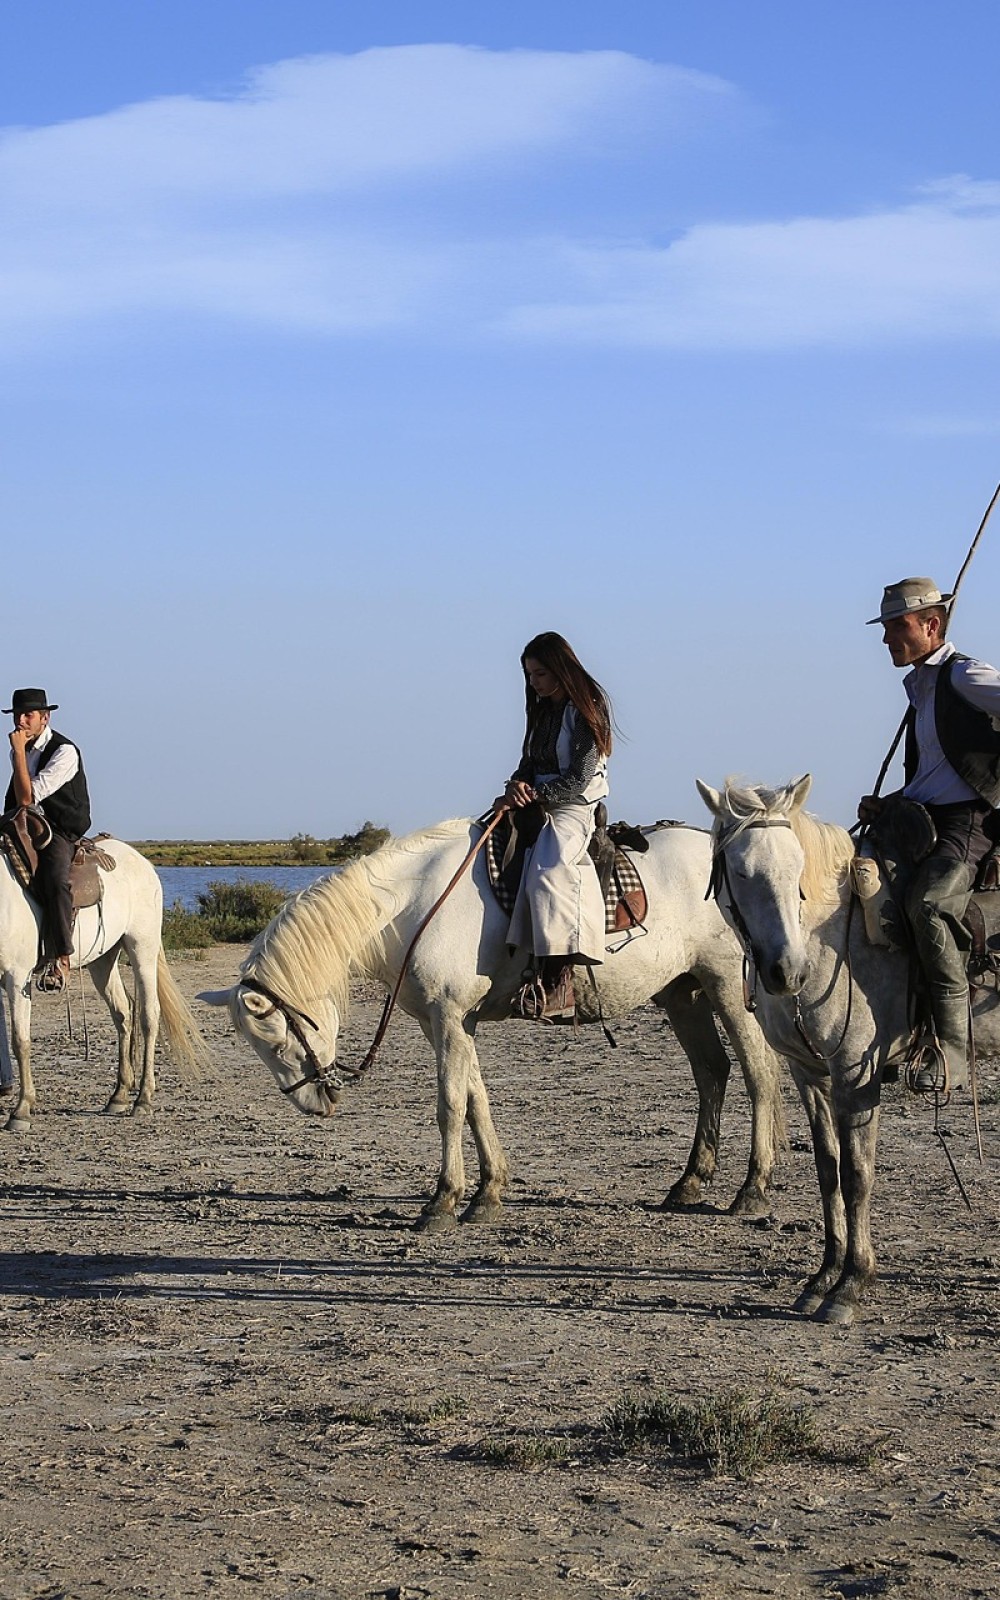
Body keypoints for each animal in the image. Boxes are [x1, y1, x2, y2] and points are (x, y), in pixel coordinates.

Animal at [0, 840, 206, 1130]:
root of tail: (142, 861)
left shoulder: (18, 977)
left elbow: (20, 1041)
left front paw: (21, 1110)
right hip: (102, 960)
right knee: (123, 1012)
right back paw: (119, 1095)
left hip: (142, 948)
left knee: (148, 1015)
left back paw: (143, 1099)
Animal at [200, 816, 786, 1230]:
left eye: (276, 1038)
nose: (314, 1103)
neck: (412, 906)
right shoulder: (453, 1023)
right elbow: (476, 1100)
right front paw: (487, 1194)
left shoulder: (448, 1018)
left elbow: (449, 1106)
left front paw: (441, 1202)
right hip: (683, 994)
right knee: (711, 1073)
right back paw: (689, 1183)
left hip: (726, 986)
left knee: (757, 1075)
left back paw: (752, 1190)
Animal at [696, 774, 1000, 1327]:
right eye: (741, 870)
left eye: (796, 869)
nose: (786, 971)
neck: (830, 941)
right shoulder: (810, 1074)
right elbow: (828, 1170)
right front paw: (822, 1280)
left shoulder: (857, 1074)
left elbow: (858, 1174)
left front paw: (852, 1286)